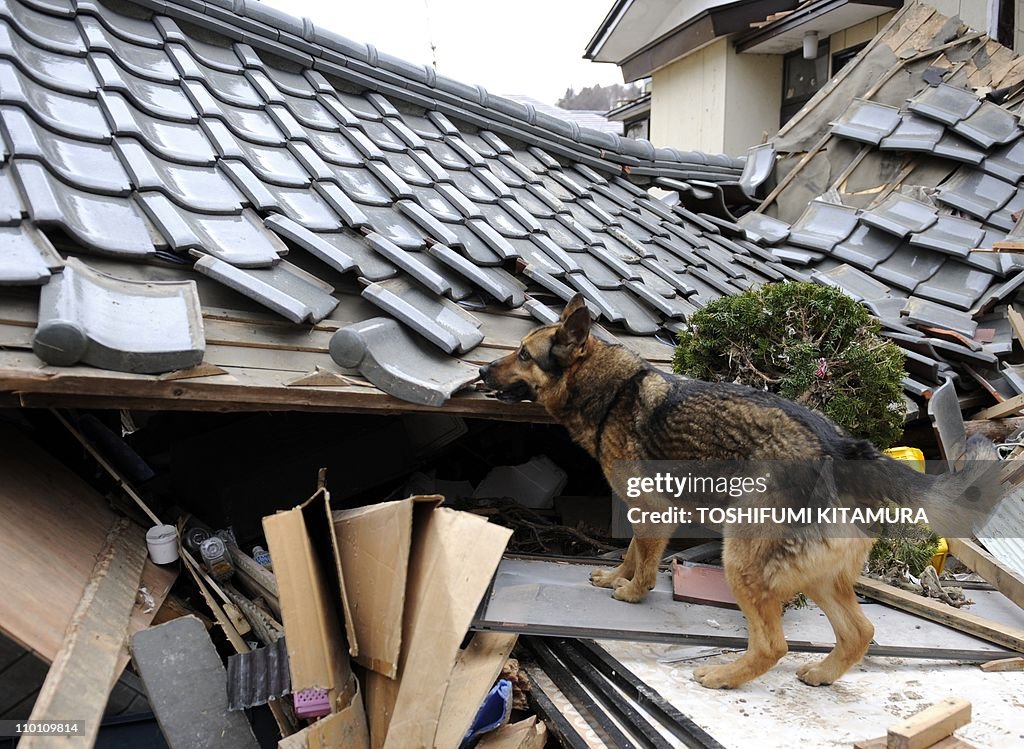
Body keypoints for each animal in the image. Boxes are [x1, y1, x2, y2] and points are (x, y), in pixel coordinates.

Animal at [479, 295, 999, 692]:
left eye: (523, 354)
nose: (482, 371)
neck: (610, 391)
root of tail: (841, 447)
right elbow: (630, 552)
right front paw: (615, 578)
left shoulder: (651, 509)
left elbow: (642, 561)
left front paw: (630, 592)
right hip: (817, 576)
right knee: (860, 631)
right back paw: (822, 674)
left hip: (742, 558)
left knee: (773, 644)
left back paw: (723, 676)